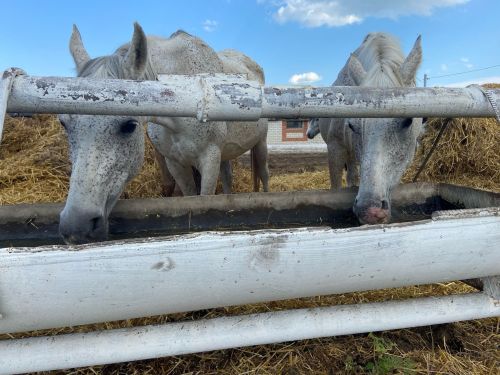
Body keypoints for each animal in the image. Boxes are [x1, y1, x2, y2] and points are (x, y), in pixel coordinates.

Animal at [57, 25, 270, 245]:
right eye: (64, 123)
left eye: (129, 126)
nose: (77, 226)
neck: (185, 97)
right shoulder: (175, 163)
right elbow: (191, 197)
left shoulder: (209, 159)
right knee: (228, 178)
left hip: (260, 144)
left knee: (263, 174)